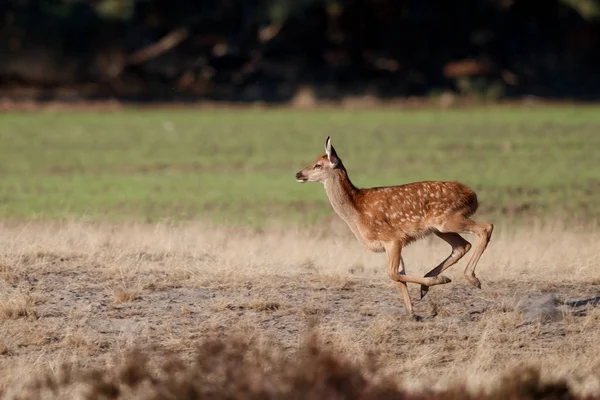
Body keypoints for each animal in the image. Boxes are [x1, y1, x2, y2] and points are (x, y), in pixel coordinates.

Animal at [294, 136, 492, 318]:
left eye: (318, 165)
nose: (298, 174)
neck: (357, 213)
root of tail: (472, 195)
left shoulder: (392, 237)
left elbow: (392, 273)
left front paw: (438, 281)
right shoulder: (395, 243)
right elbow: (399, 275)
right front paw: (412, 312)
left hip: (448, 219)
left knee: (485, 227)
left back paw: (470, 278)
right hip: (440, 228)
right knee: (462, 245)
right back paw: (426, 286)